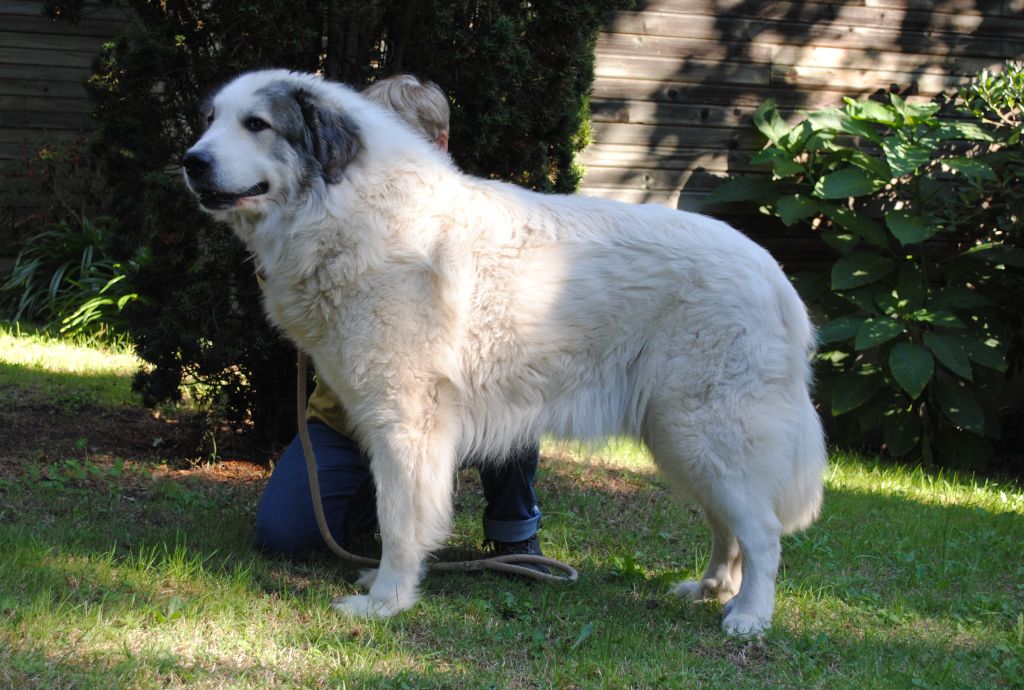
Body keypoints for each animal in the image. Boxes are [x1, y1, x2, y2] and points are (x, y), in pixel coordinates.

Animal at [182, 69, 823, 634]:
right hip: (680, 440)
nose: (192, 161)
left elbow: (399, 520)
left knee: (762, 533)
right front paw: (382, 590)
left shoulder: (406, 424)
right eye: (210, 120)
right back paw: (712, 588)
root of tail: (772, 273)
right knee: (727, 527)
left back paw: (748, 616)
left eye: (257, 124)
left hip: (704, 433)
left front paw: (386, 602)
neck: (345, 209)